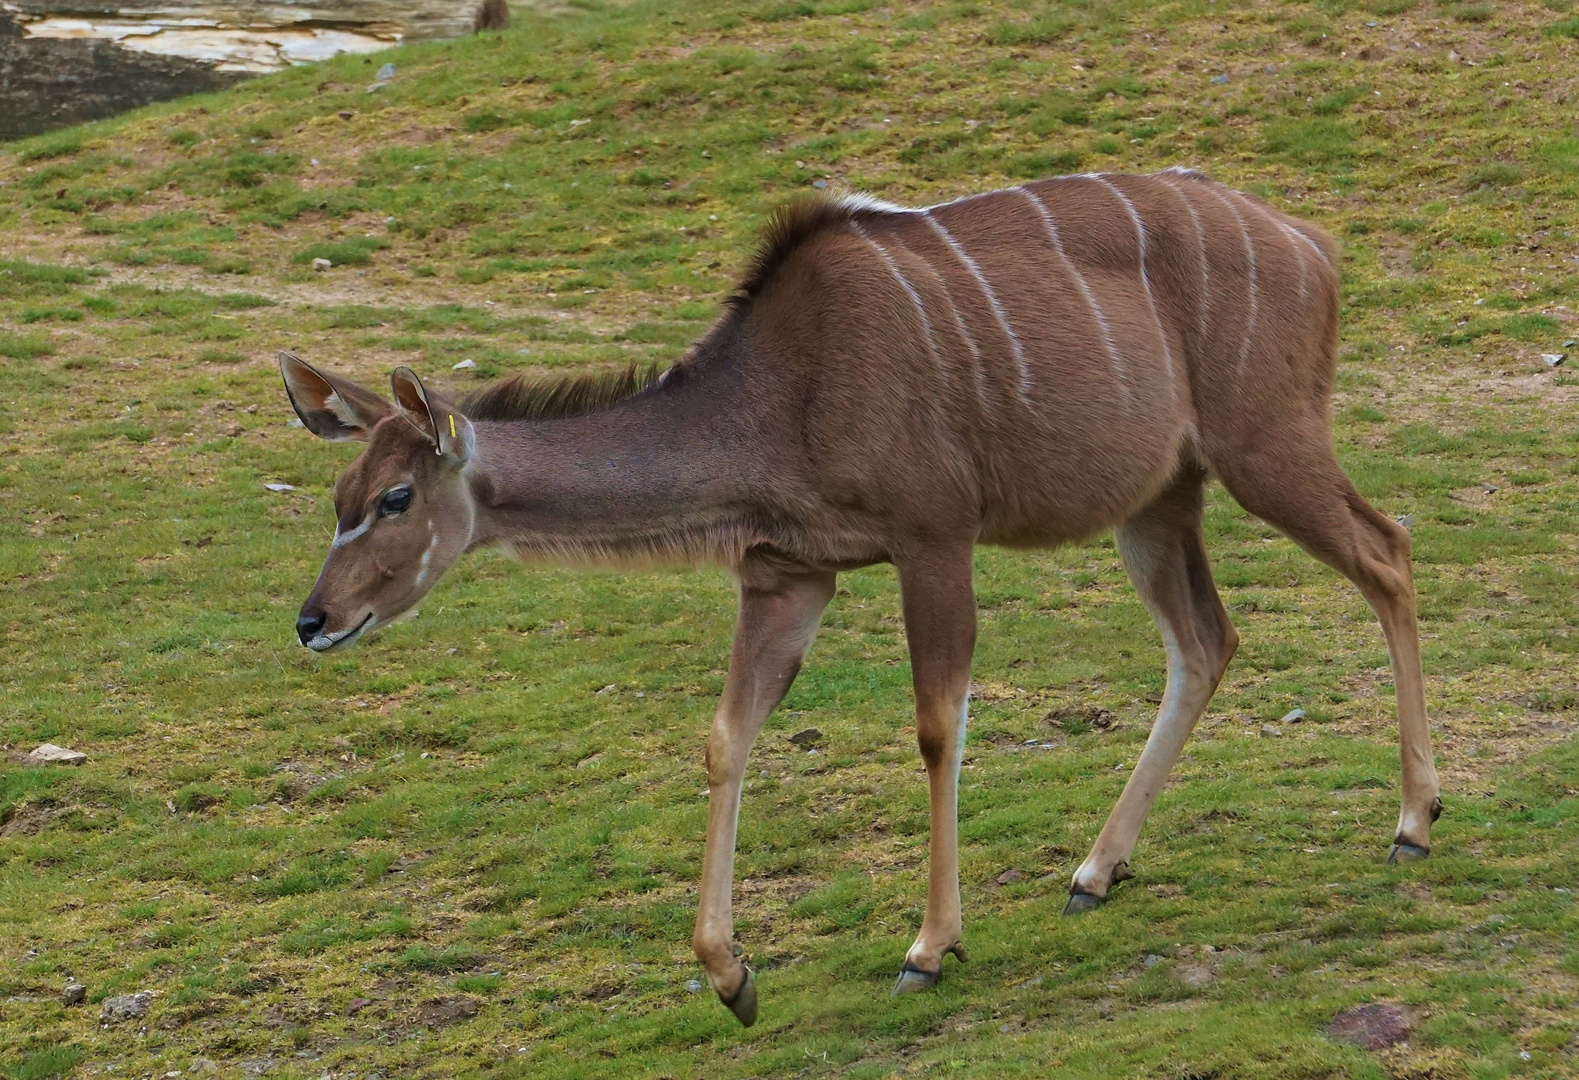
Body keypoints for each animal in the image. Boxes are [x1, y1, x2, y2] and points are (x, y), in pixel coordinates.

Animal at [281, 166, 1446, 1023]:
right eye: (335, 495)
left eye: (393, 497)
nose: (314, 620)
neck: (773, 395)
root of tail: (1311, 244)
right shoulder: (786, 570)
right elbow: (726, 734)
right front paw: (732, 977)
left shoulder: (931, 536)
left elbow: (936, 723)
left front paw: (928, 947)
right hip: (1159, 499)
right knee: (1206, 639)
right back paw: (1094, 872)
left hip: (1265, 445)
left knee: (1387, 551)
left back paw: (1413, 821)